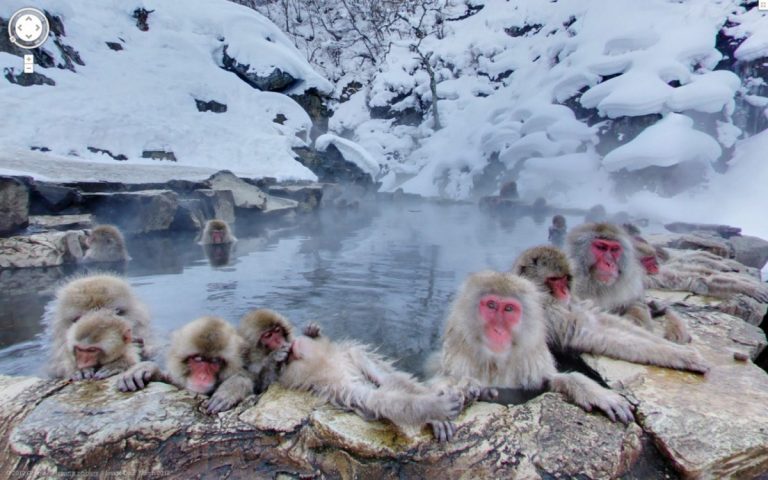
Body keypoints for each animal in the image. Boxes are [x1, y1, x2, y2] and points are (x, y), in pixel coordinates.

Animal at [280, 334, 462, 442]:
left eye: (292, 350)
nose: (293, 346)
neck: (327, 363)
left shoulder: (353, 358)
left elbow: (390, 382)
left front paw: (437, 415)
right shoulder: (345, 387)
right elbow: (379, 401)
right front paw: (437, 409)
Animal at [432, 270, 636, 424]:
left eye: (509, 309)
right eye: (491, 305)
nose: (497, 330)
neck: (495, 362)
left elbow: (548, 382)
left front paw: (594, 393)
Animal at [512, 246, 712, 374]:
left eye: (565, 278)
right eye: (554, 280)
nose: (564, 291)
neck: (546, 297)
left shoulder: (570, 302)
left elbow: (602, 320)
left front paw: (674, 347)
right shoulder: (546, 313)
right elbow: (593, 334)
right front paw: (681, 356)